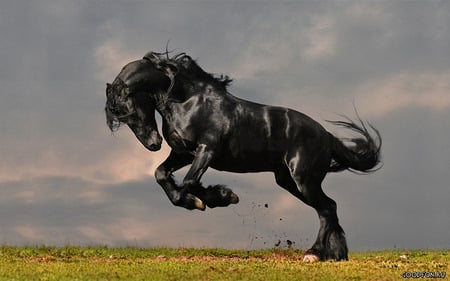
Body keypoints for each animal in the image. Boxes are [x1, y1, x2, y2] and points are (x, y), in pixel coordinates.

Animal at [106, 51, 384, 262]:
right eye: (121, 117)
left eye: (129, 110)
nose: (153, 144)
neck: (188, 101)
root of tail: (326, 135)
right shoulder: (183, 153)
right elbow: (162, 175)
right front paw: (197, 201)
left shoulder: (207, 150)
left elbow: (189, 182)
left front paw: (220, 197)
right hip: (288, 181)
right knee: (330, 207)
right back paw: (335, 255)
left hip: (304, 180)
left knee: (327, 208)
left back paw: (314, 254)